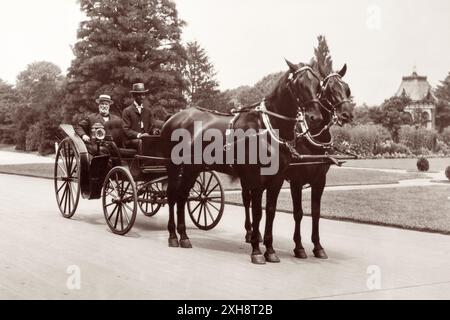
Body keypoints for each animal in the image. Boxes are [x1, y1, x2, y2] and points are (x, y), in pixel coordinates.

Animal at [160, 60, 326, 264]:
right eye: (299, 84)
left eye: (318, 86)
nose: (315, 117)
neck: (267, 128)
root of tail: (175, 117)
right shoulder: (255, 179)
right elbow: (257, 212)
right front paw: (256, 250)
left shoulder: (277, 180)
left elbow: (270, 211)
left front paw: (270, 250)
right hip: (174, 166)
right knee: (172, 195)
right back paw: (173, 236)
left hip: (193, 168)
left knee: (182, 196)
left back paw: (183, 236)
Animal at [241, 64, 354, 260]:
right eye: (329, 90)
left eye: (347, 89)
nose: (347, 114)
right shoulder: (296, 181)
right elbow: (298, 213)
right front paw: (299, 247)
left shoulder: (320, 181)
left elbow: (315, 213)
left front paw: (317, 246)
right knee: (247, 200)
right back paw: (250, 233)